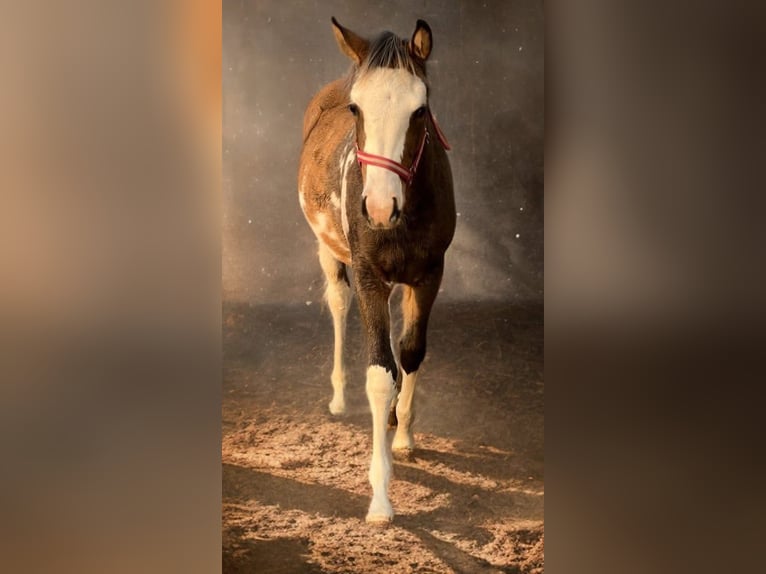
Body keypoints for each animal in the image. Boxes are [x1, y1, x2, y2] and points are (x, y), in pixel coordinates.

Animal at [298, 17, 455, 523]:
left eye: (420, 110)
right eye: (356, 108)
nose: (381, 208)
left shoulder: (429, 274)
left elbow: (410, 352)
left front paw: (402, 432)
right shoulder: (368, 274)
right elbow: (380, 373)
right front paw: (381, 497)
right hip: (328, 250)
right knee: (338, 303)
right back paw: (338, 397)